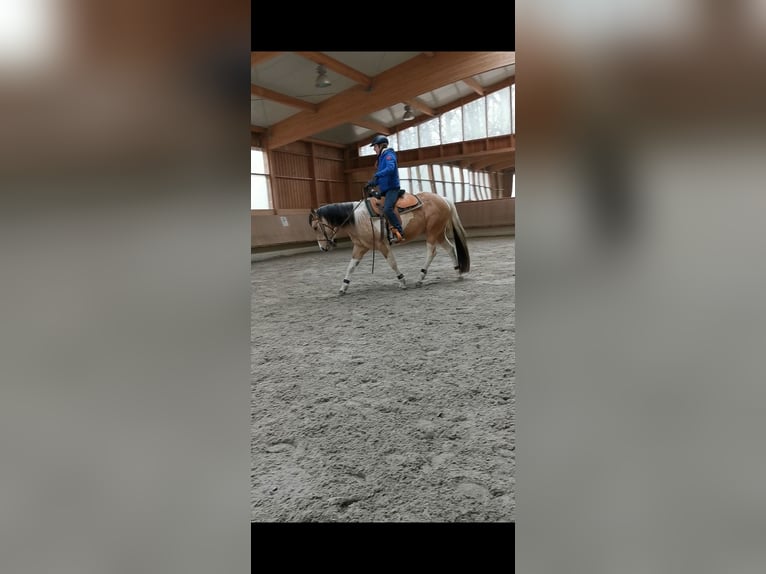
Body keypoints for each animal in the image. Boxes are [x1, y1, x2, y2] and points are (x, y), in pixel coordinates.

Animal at [308, 191, 470, 295]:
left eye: (315, 227)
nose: (322, 248)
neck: (358, 218)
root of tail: (443, 198)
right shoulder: (360, 247)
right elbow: (351, 267)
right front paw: (343, 287)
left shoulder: (382, 245)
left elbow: (392, 263)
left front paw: (402, 281)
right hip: (438, 233)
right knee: (450, 249)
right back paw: (458, 273)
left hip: (432, 232)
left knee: (432, 252)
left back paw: (420, 278)